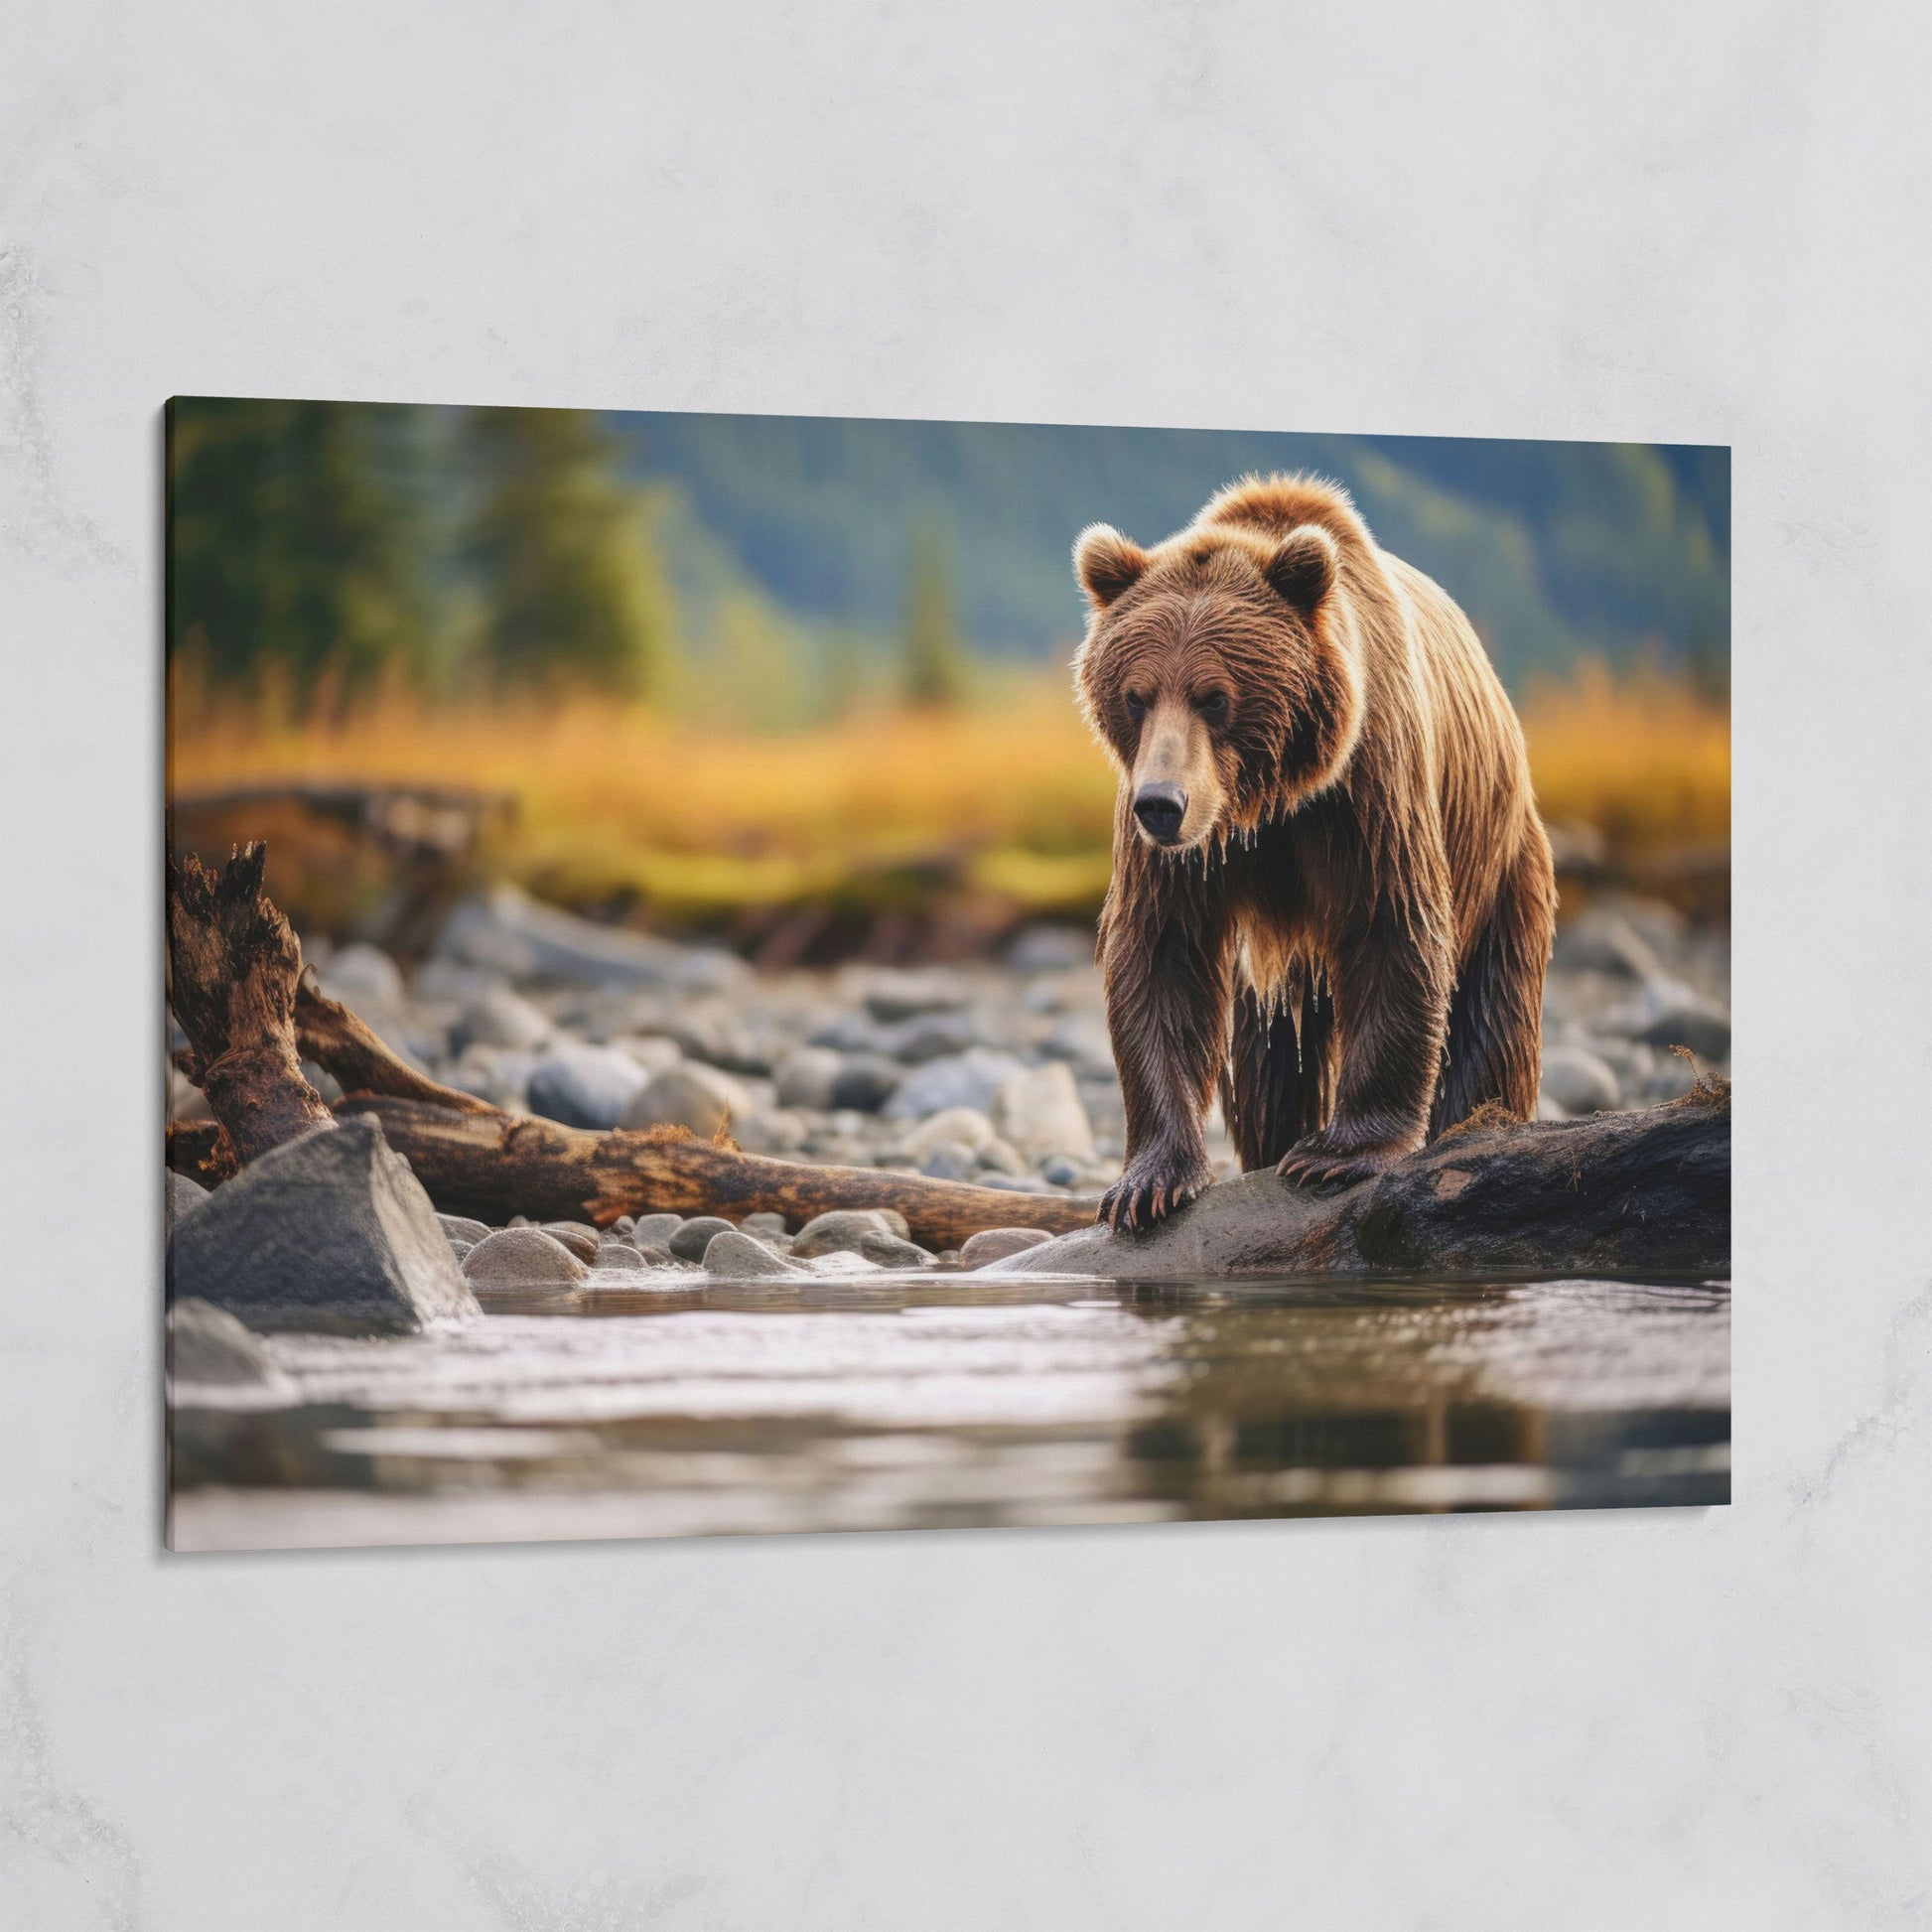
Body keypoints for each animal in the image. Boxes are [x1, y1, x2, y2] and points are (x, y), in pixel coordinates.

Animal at [1072, 473, 1557, 1231]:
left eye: (1215, 696)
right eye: (1135, 695)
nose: (1162, 803)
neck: (1270, 798)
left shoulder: (1368, 785)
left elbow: (1394, 924)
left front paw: (1337, 1153)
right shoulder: (1183, 852)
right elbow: (1161, 952)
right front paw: (1148, 1181)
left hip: (1502, 856)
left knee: (1492, 1014)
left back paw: (1479, 1126)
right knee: (1271, 1062)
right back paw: (1271, 1143)